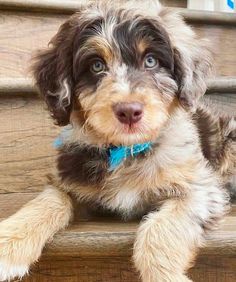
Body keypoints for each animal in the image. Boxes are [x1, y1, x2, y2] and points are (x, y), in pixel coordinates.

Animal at [0, 1, 236, 280]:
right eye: (96, 66)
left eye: (151, 60)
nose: (129, 111)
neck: (125, 150)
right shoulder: (66, 181)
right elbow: (46, 201)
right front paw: (8, 244)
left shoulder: (200, 189)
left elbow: (160, 228)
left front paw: (164, 276)